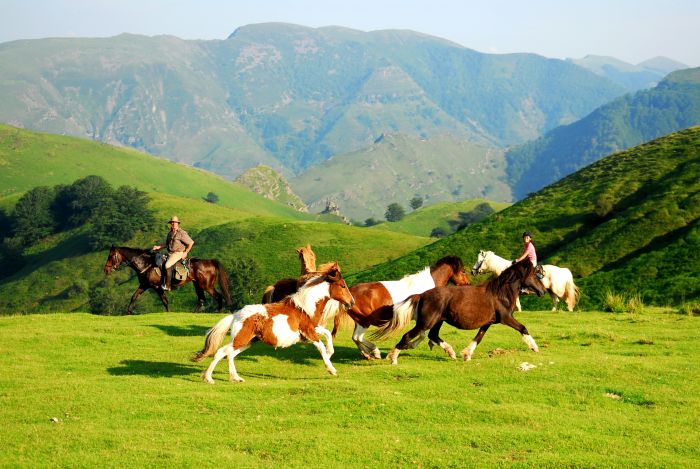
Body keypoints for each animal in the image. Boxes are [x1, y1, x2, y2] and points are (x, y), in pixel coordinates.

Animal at [102, 245, 232, 314]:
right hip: (198, 285)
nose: (106, 270)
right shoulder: (144, 285)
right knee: (201, 299)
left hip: (206, 285)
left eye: (111, 256)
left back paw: (219, 311)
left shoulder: (157, 287)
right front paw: (129, 311)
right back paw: (193, 313)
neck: (146, 263)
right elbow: (134, 296)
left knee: (218, 296)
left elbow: (165, 301)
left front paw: (169, 313)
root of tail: (210, 261)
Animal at [191, 262, 356, 382]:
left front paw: (330, 353)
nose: (352, 302)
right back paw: (209, 378)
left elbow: (327, 334)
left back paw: (236, 378)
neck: (305, 307)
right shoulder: (309, 332)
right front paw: (331, 369)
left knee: (230, 354)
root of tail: (236, 315)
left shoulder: (312, 329)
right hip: (241, 339)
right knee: (221, 352)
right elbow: (321, 345)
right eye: (343, 285)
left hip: (248, 341)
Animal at [332, 256, 470, 358]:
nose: (468, 284)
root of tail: (349, 294)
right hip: (364, 322)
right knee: (358, 337)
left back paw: (366, 355)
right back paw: (375, 352)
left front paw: (409, 345)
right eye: (463, 271)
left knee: (355, 338)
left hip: (358, 321)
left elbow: (423, 334)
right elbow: (424, 334)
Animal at [372, 258, 548, 364]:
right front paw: (535, 347)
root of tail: (422, 295)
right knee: (409, 336)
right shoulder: (506, 318)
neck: (500, 293)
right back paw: (393, 358)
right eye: (534, 275)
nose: (543, 291)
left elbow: (479, 337)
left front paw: (466, 354)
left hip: (438, 321)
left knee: (432, 335)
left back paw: (451, 353)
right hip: (426, 322)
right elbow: (523, 328)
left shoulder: (488, 322)